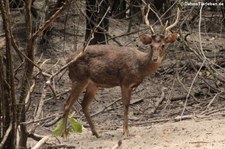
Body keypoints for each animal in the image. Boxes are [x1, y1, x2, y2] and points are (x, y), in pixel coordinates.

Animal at [62, 5, 180, 139]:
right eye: (151, 45)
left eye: (163, 45)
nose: (155, 58)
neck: (140, 66)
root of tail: (68, 60)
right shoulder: (125, 81)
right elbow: (126, 105)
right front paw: (126, 132)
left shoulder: (131, 85)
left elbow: (128, 105)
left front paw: (126, 131)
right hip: (78, 78)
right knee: (67, 104)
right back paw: (64, 135)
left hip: (92, 84)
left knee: (84, 105)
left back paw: (96, 133)